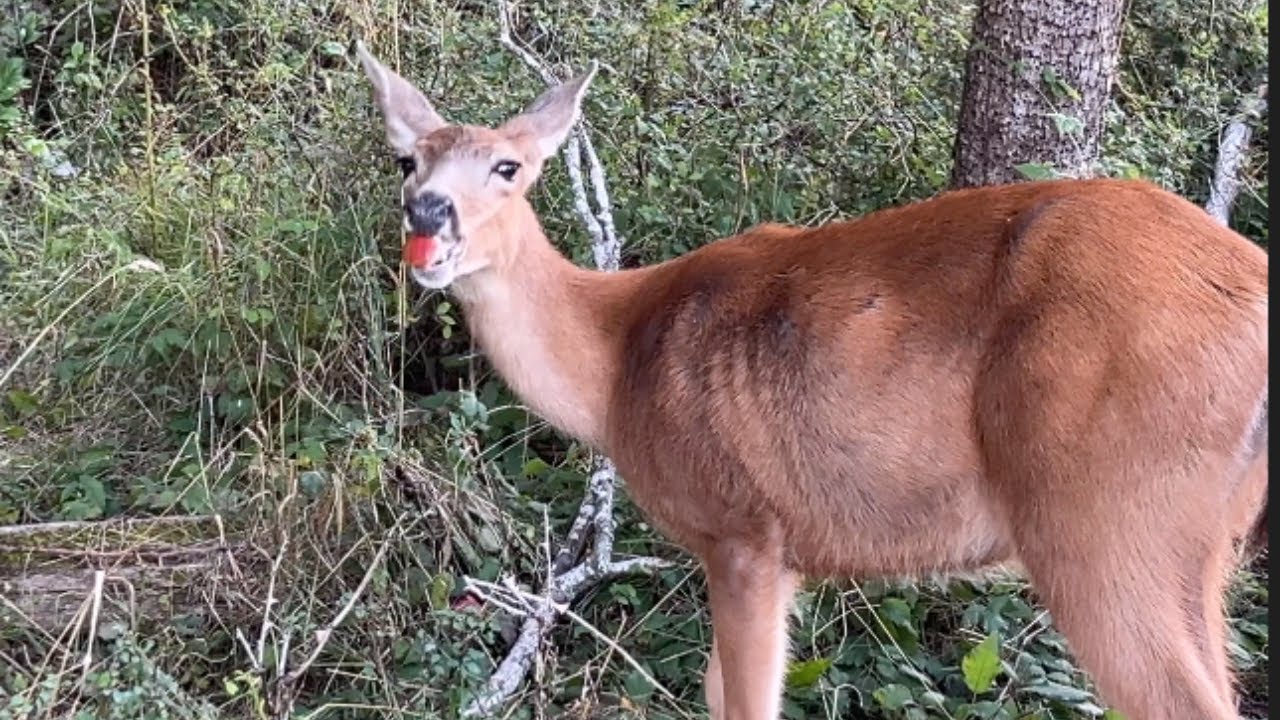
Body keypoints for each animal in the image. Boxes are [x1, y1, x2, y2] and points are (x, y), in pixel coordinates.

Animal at [354, 42, 1269, 720]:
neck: (616, 363)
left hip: (1106, 510)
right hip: (1206, 541)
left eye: (508, 167)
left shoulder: (742, 530)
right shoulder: (779, 554)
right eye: (405, 161)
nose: (427, 214)